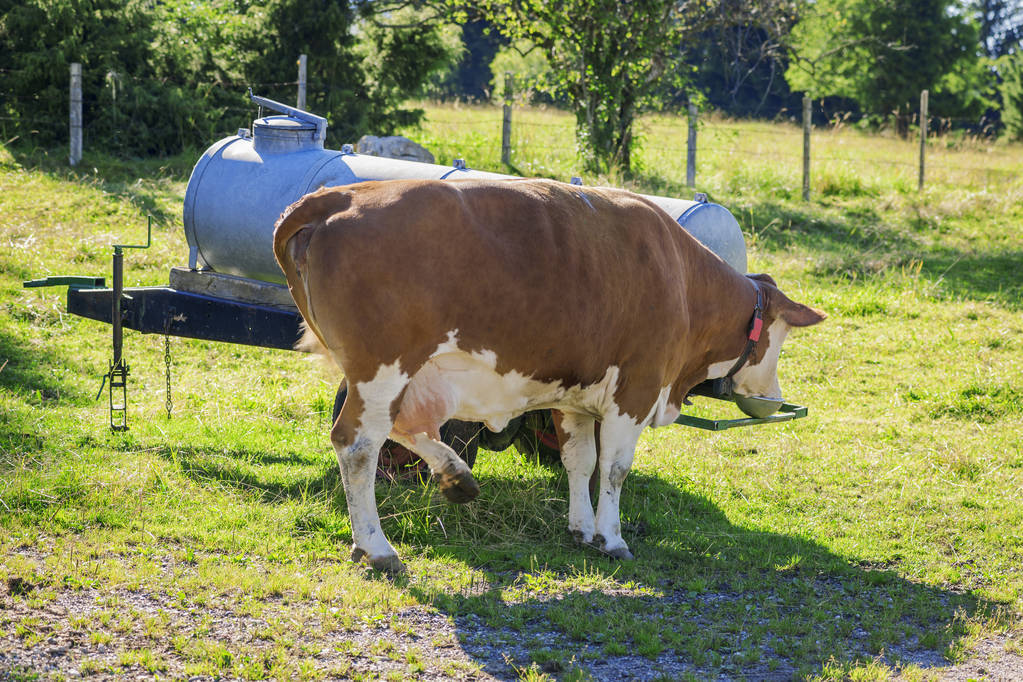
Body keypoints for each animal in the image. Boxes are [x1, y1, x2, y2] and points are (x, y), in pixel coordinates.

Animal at [274, 178, 822, 572]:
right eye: (780, 339)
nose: (775, 398)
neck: (681, 279)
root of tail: (340, 194)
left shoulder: (574, 396)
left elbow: (580, 461)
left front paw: (582, 529)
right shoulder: (636, 389)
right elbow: (615, 468)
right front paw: (612, 538)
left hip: (409, 377)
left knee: (408, 427)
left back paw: (456, 477)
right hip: (382, 370)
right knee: (358, 445)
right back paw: (377, 546)